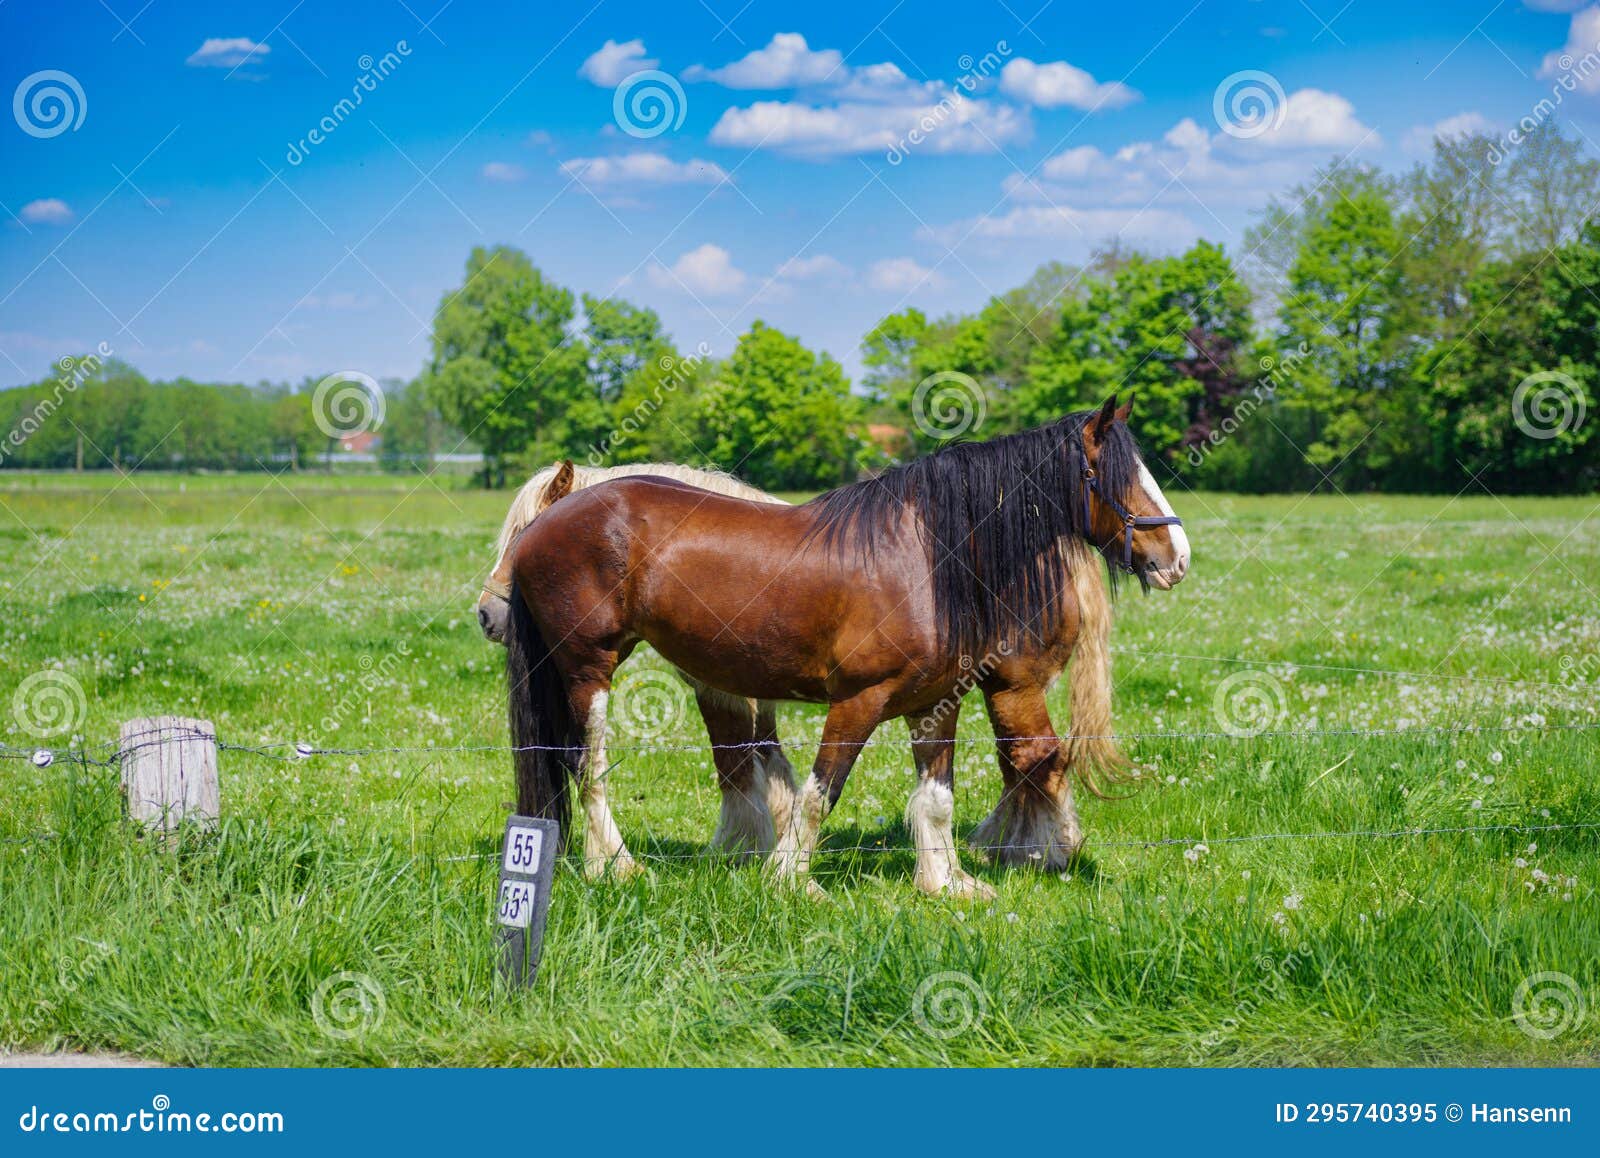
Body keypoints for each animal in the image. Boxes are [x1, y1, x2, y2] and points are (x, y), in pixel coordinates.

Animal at [477, 459, 798, 873]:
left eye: (520, 535)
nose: (486, 614)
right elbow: (768, 767)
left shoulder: (720, 689)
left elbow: (738, 766)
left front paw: (739, 852)